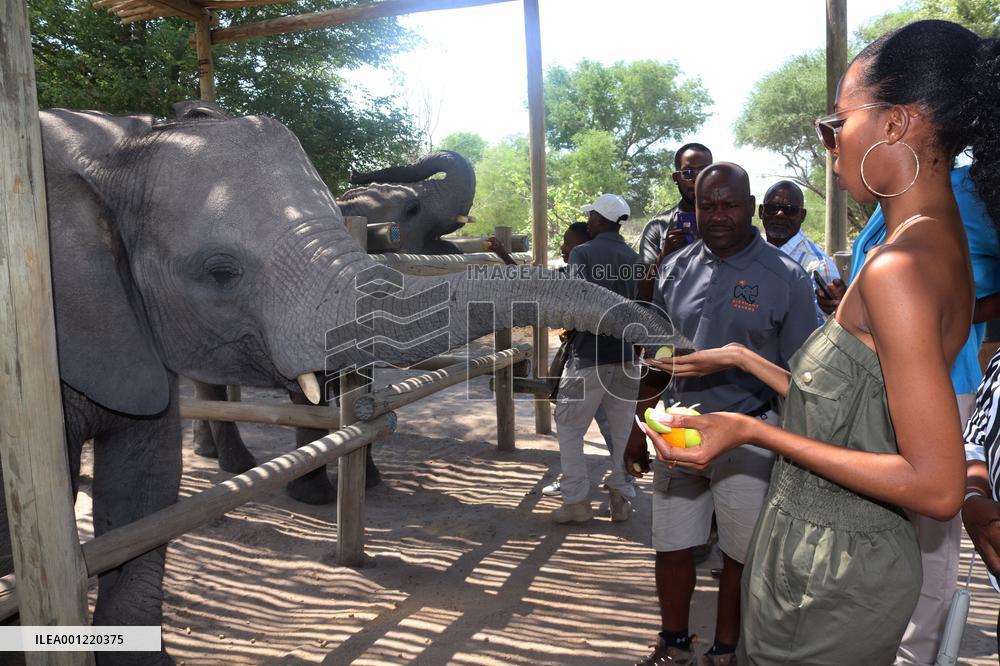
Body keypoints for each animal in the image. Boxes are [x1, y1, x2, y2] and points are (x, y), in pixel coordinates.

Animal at [17, 101, 678, 664]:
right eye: (405, 210)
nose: (660, 334)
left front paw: (368, 478)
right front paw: (316, 495)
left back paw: (224, 461)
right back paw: (233, 466)